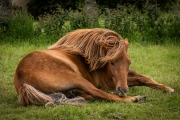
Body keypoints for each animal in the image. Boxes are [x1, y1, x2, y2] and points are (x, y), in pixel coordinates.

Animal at [14, 28, 174, 107]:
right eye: (112, 62)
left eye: (128, 62)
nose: (123, 90)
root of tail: (22, 80)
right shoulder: (109, 82)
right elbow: (138, 79)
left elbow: (143, 78)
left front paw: (167, 88)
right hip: (77, 78)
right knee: (99, 93)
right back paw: (134, 98)